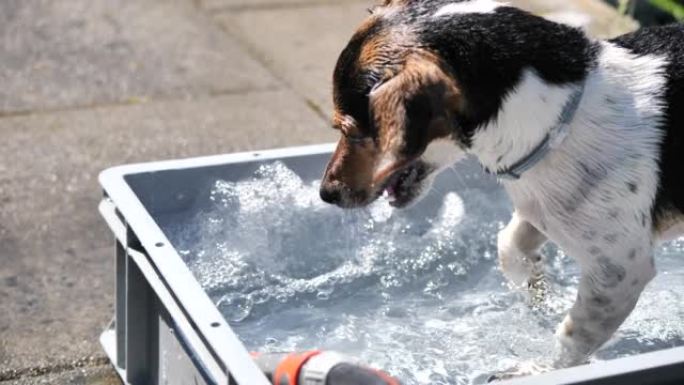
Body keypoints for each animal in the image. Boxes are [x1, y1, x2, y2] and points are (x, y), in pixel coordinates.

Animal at [320, 0, 684, 368]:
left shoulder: (619, 271)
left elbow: (573, 336)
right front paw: (535, 287)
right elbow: (509, 244)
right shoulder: (539, 207)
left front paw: (538, 369)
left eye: (350, 131)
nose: (326, 193)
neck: (558, 123)